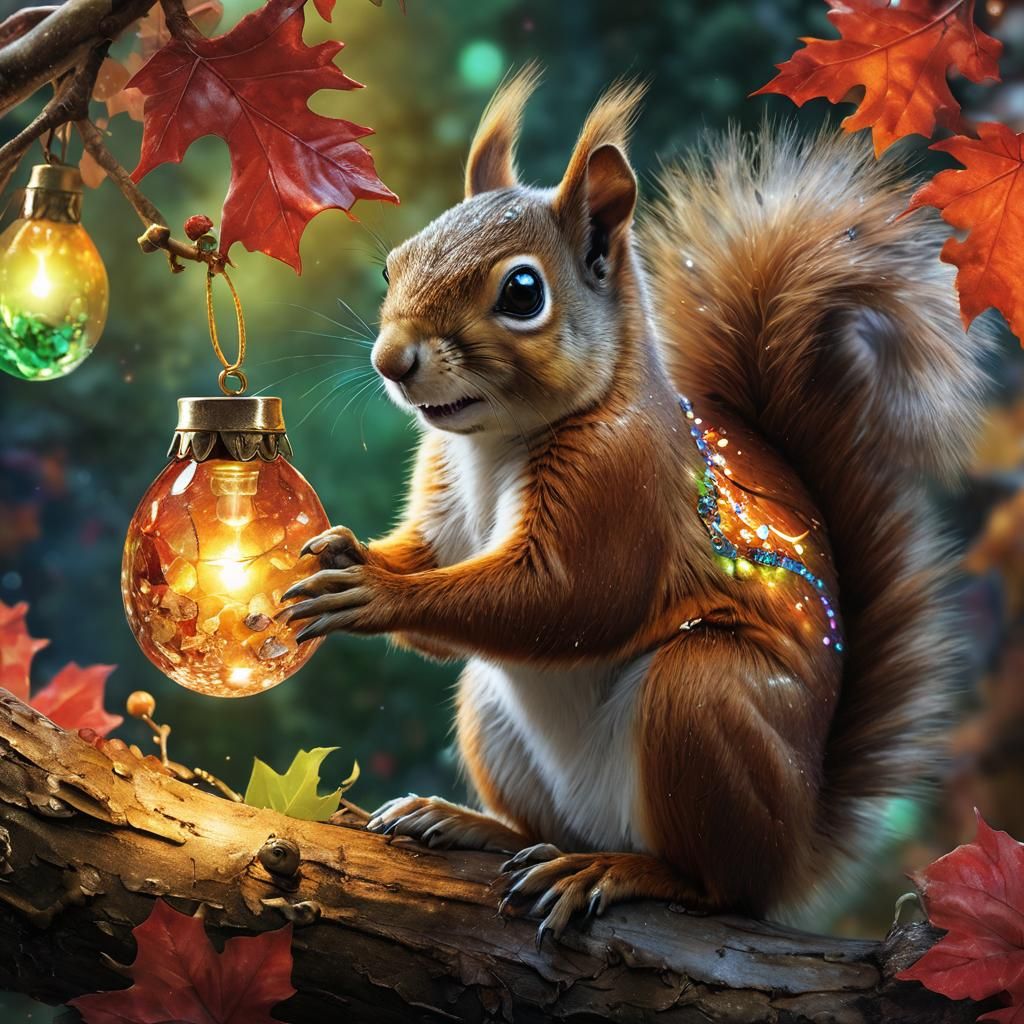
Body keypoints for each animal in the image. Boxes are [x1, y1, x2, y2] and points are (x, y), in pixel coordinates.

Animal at [280, 67, 990, 939]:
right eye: (394, 264)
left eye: (522, 292)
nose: (392, 359)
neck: (494, 444)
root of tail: (793, 852)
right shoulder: (444, 500)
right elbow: (437, 571)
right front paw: (346, 552)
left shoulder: (625, 485)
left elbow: (571, 598)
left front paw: (373, 589)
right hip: (493, 714)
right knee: (541, 824)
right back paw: (470, 823)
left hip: (704, 701)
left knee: (717, 884)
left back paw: (619, 872)